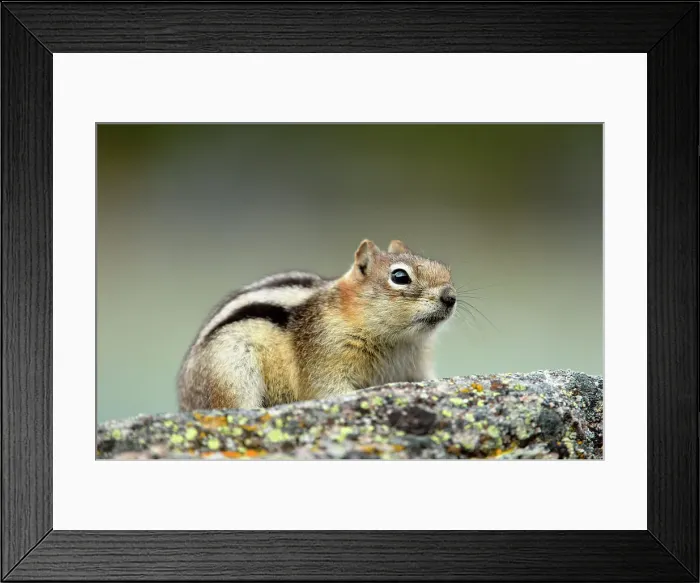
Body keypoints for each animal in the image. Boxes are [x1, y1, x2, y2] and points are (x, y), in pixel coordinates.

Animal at [177, 239, 457, 411]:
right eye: (399, 276)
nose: (450, 297)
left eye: (445, 270)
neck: (398, 341)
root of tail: (185, 401)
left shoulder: (416, 366)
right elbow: (327, 389)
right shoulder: (325, 357)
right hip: (231, 371)